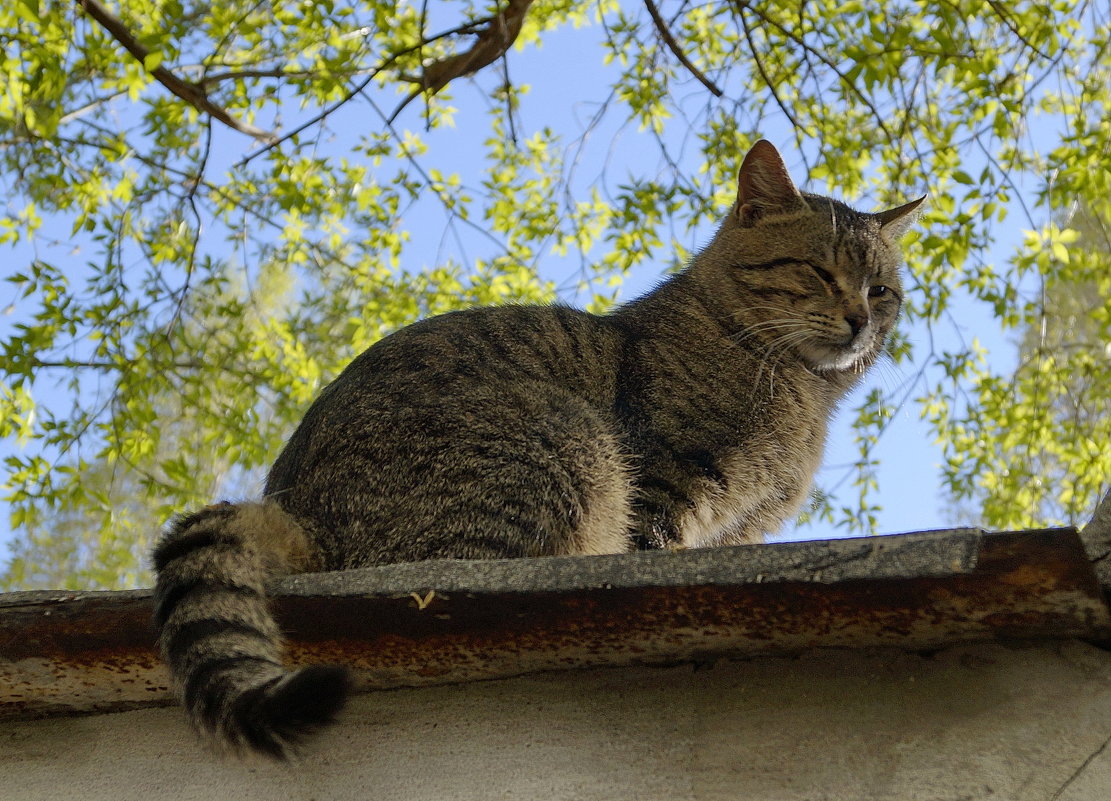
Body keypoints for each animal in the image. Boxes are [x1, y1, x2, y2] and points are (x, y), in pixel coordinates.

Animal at [152, 138, 924, 755]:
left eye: (882, 291)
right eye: (820, 272)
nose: (861, 320)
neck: (803, 394)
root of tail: (299, 511)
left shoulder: (737, 530)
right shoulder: (669, 483)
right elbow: (652, 547)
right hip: (564, 446)